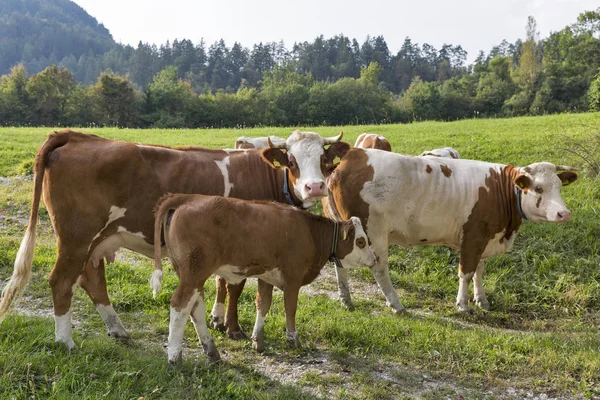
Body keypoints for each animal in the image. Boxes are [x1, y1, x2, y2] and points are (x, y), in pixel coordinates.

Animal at [0, 129, 346, 350]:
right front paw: (232, 328)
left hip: (96, 241)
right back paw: (66, 342)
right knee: (62, 282)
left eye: (324, 161)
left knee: (91, 280)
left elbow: (221, 284)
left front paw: (217, 320)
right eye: (292, 161)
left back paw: (118, 330)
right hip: (76, 237)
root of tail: (76, 136)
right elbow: (234, 286)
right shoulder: (245, 244)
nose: (315, 187)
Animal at [151, 193, 376, 362]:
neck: (309, 232)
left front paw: (257, 341)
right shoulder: (293, 278)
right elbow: (290, 308)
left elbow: (263, 304)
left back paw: (211, 351)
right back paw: (175, 358)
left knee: (195, 308)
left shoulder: (266, 277)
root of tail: (187, 198)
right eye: (361, 241)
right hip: (194, 273)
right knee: (179, 305)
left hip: (190, 275)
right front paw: (293, 340)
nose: (374, 259)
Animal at [326, 147, 580, 312]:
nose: (564, 213)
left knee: (340, 265)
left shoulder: (484, 240)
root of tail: (351, 155)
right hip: (373, 231)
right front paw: (463, 304)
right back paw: (396, 304)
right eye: (538, 188)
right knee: (379, 269)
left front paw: (481, 300)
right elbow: (466, 272)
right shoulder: (474, 237)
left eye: (559, 187)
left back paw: (346, 299)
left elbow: (479, 271)